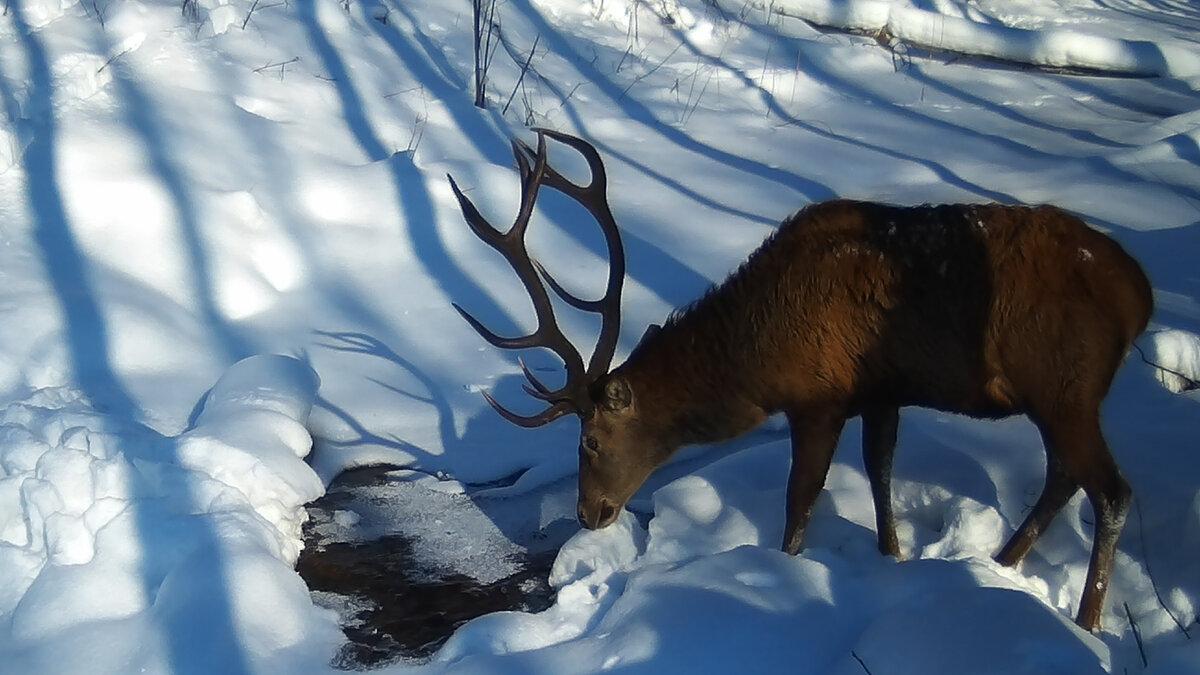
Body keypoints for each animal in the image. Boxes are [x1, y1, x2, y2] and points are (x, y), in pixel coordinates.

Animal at [448, 128, 1152, 629]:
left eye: (590, 441)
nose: (589, 512)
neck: (755, 360)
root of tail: (1137, 296)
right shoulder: (883, 391)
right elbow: (880, 475)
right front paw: (894, 559)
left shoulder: (820, 396)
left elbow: (800, 497)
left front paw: (787, 573)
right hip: (1057, 396)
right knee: (1064, 475)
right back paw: (1002, 563)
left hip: (1066, 384)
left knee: (1112, 490)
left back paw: (1088, 621)